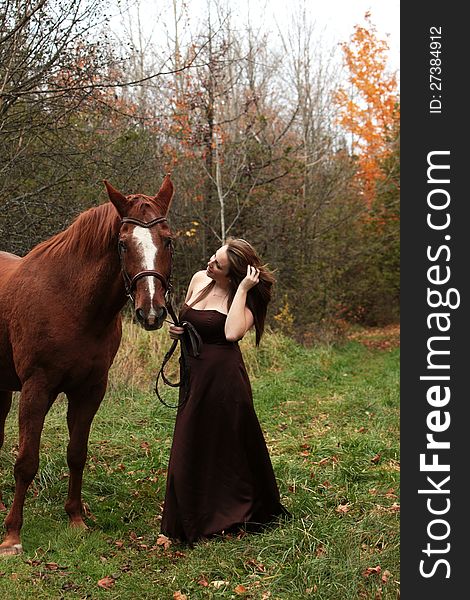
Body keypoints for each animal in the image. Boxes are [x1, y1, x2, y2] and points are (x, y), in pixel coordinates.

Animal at [0, 173, 174, 552]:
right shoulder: (36, 388)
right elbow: (26, 461)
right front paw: (12, 536)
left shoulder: (91, 390)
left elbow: (77, 453)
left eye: (167, 240)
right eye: (122, 244)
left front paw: (76, 519)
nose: (151, 311)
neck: (70, 300)